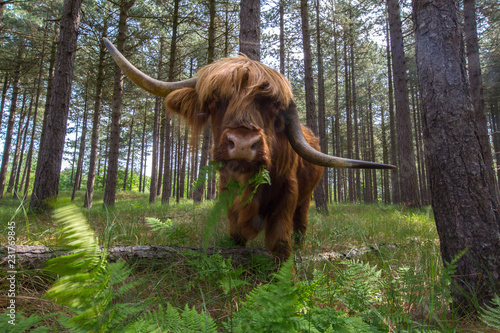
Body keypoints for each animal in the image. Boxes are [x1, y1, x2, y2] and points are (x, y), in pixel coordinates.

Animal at [104, 39, 394, 260]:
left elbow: (280, 242)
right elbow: (236, 234)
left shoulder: (288, 191)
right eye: (215, 100)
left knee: (301, 224)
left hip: (307, 198)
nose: (243, 144)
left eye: (273, 105)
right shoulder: (226, 190)